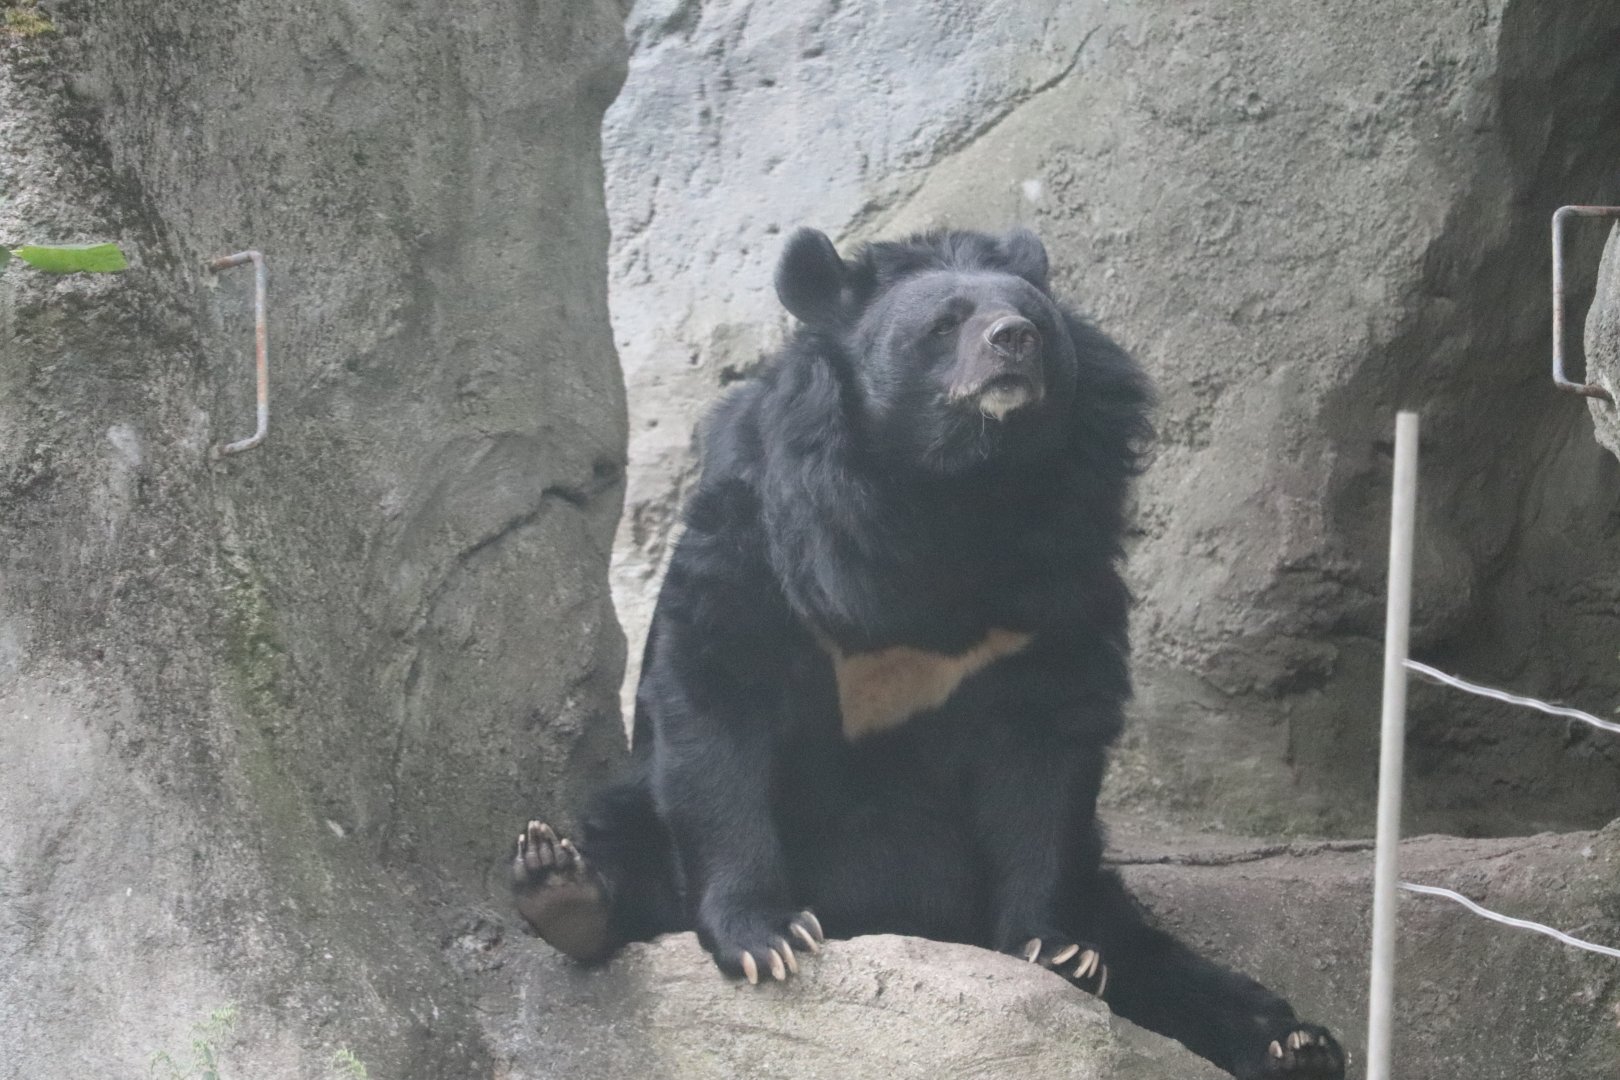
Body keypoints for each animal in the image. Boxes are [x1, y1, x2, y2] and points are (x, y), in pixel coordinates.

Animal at [512, 227, 1346, 1079]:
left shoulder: (1060, 568)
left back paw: (1292, 1040)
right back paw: (562, 885)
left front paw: (1056, 951)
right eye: (946, 323)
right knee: (626, 839)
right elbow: (719, 693)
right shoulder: (766, 533)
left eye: (1034, 319)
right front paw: (768, 940)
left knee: (1144, 946)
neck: (956, 488)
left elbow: (1046, 748)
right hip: (637, 811)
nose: (1014, 340)